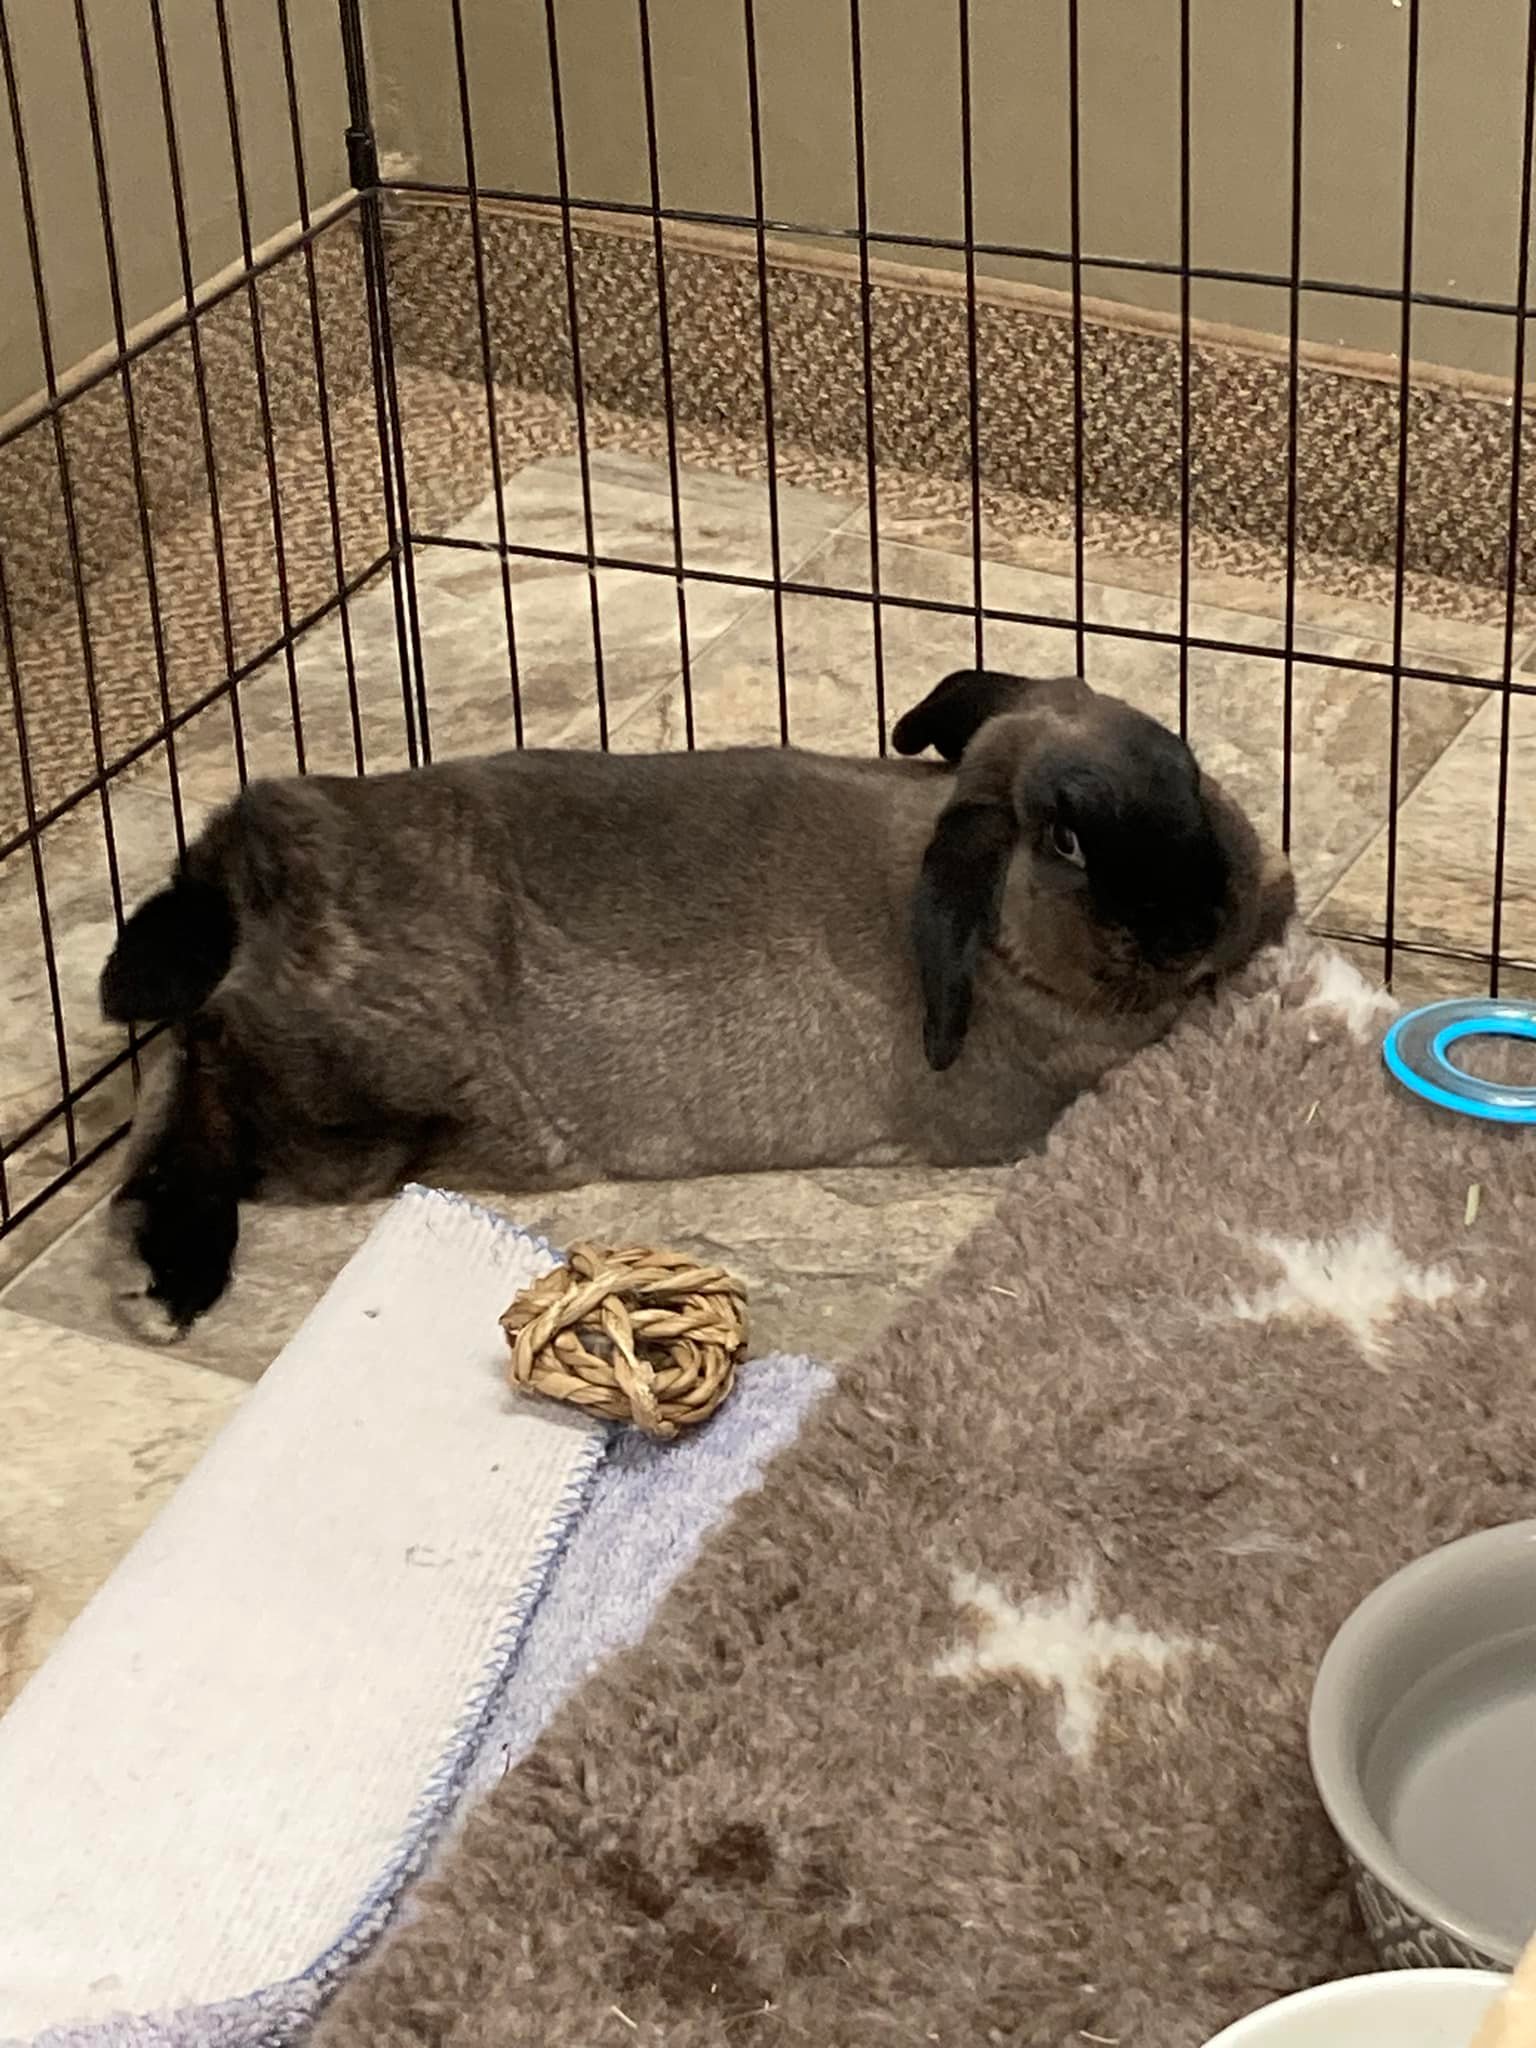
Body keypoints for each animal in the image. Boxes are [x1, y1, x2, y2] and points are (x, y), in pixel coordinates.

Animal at [98, 667, 1294, 1338]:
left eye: (1186, 767)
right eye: (1067, 841)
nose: (1204, 917)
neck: (998, 948)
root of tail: (261, 877)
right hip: (359, 1105)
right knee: (204, 1072)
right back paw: (170, 1277)